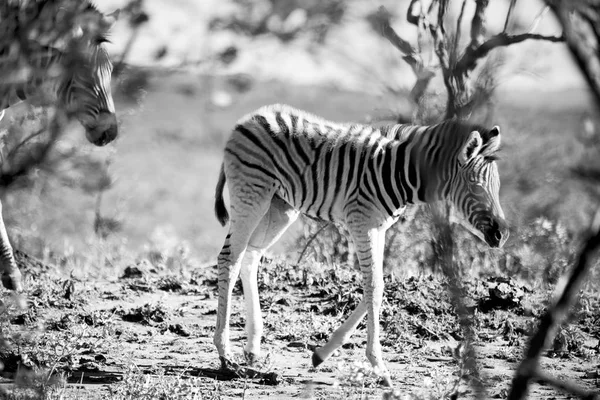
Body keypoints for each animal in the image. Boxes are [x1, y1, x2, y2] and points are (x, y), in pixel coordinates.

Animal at [213, 104, 508, 386]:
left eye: (498, 187)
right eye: (476, 187)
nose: (502, 234)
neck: (399, 172)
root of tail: (251, 117)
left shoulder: (379, 228)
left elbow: (376, 285)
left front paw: (322, 354)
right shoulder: (363, 223)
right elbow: (374, 287)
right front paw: (378, 366)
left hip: (280, 207)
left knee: (250, 257)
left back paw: (252, 348)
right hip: (252, 195)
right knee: (229, 258)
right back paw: (225, 354)